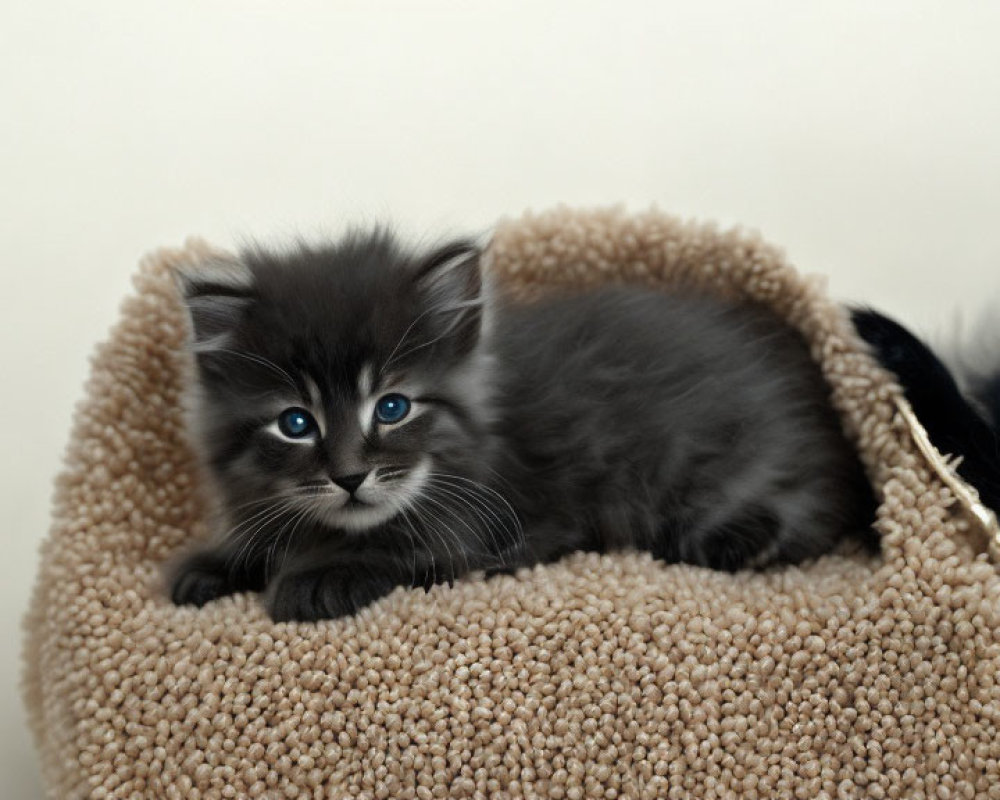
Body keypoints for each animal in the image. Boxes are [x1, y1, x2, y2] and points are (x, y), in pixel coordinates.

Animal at [170, 228, 876, 620]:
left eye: (393, 407)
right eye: (296, 423)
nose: (349, 476)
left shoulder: (483, 533)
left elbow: (397, 553)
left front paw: (312, 581)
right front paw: (214, 564)